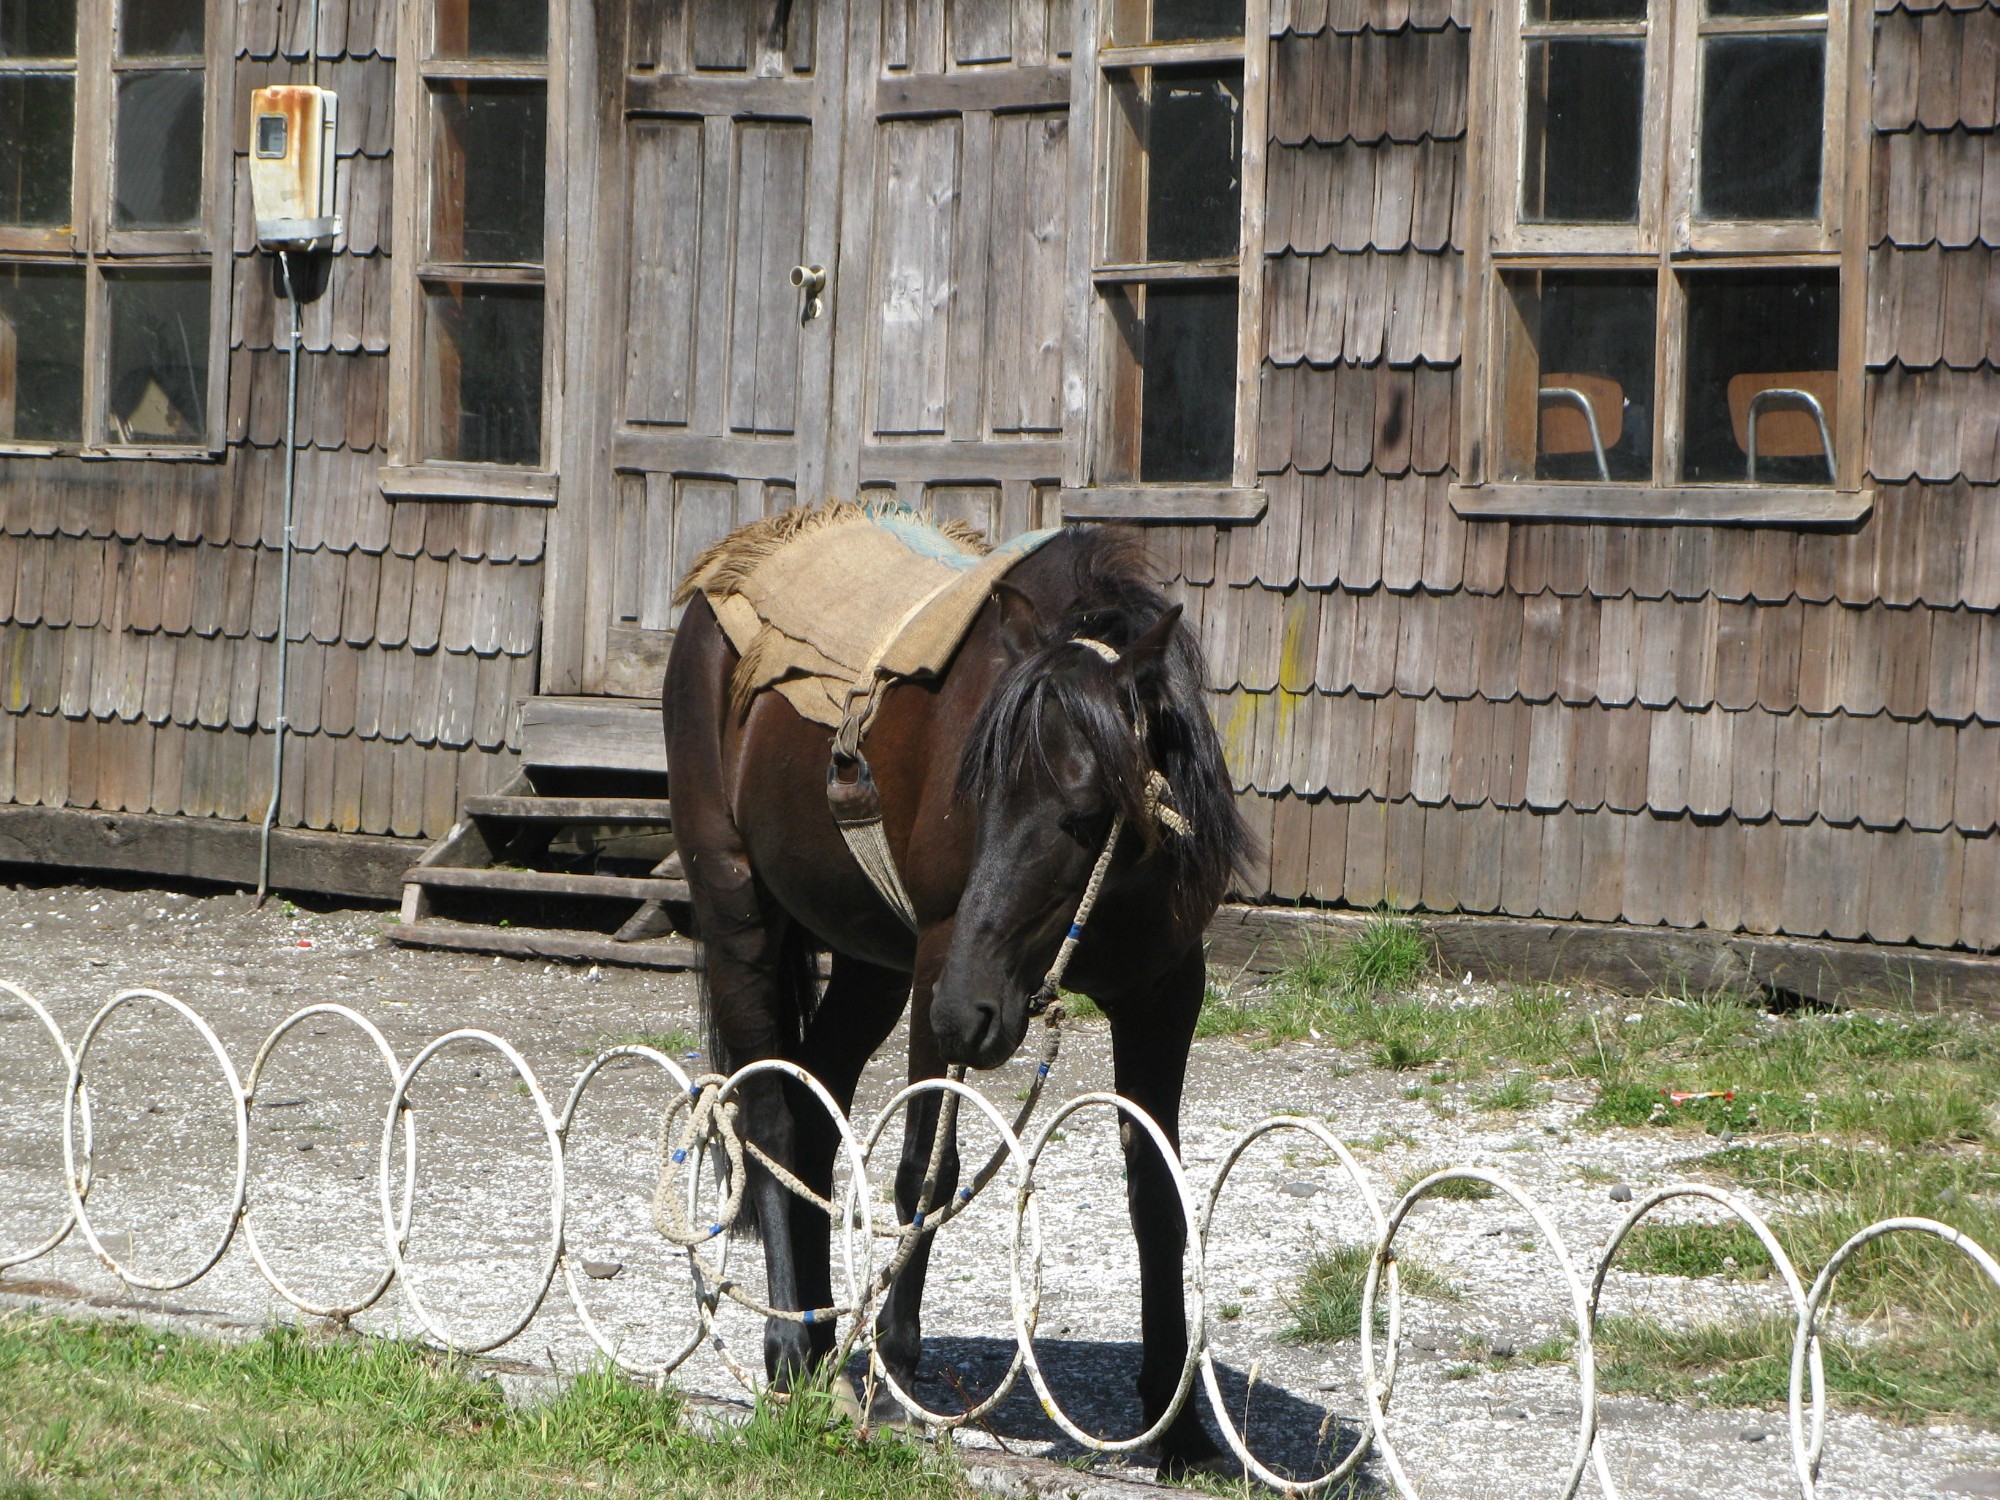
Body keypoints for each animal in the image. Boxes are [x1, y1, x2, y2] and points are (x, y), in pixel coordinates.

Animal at [661, 520, 1250, 1474]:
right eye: (978, 791)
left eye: (1089, 811)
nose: (976, 1008)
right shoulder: (942, 967)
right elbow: (924, 1169)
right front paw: (896, 1362)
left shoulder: (1164, 992)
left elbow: (1156, 1194)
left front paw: (1180, 1422)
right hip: (739, 908)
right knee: (776, 1119)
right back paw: (789, 1348)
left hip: (873, 964)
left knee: (815, 1114)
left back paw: (822, 1341)